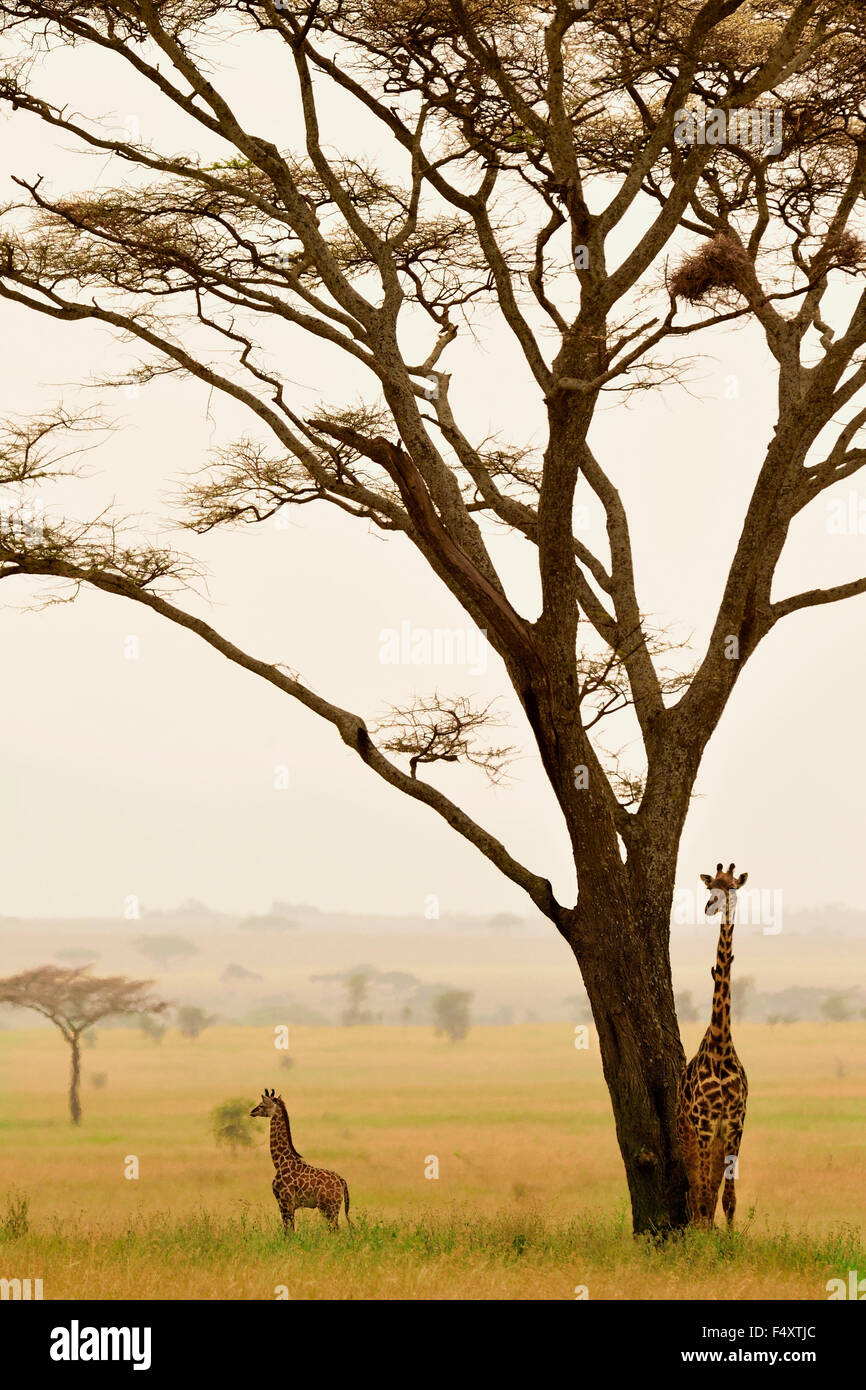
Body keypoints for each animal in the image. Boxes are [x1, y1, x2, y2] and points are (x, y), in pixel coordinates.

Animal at [248, 1089, 350, 1234]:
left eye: (261, 1105)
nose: (252, 1111)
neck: (279, 1162)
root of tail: (341, 1181)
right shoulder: (289, 1204)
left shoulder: (285, 1202)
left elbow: (288, 1231)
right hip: (332, 1208)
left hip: (328, 1207)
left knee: (336, 1230)